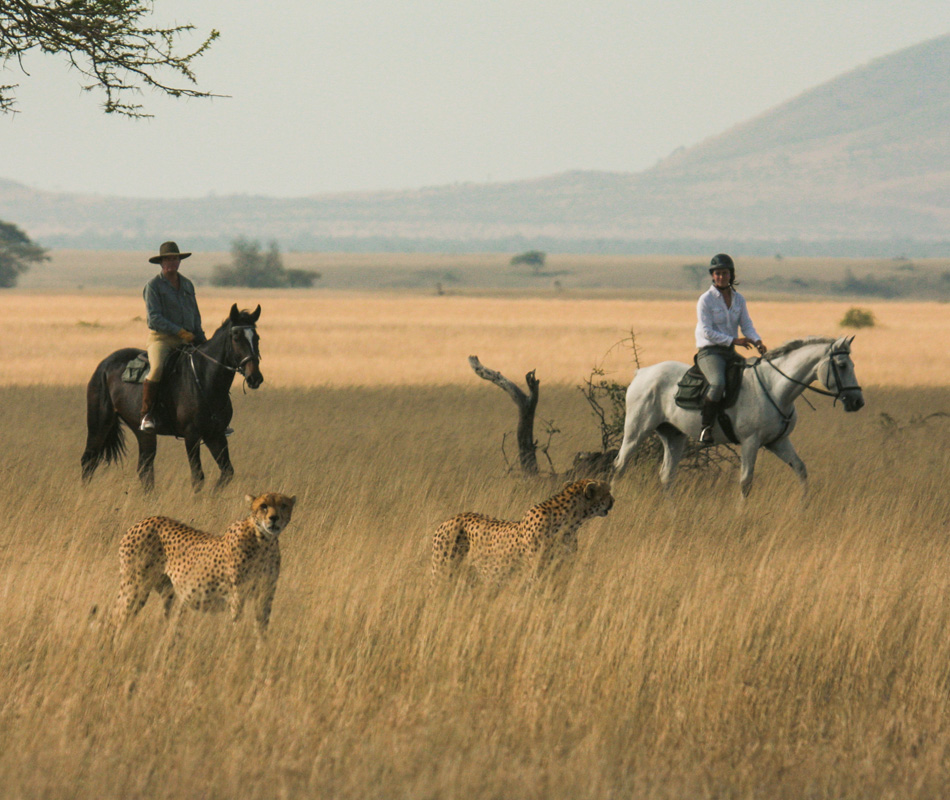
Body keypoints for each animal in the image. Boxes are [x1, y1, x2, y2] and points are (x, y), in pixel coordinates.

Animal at [82, 306, 264, 494]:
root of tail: (104, 365)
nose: (255, 378)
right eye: (236, 337)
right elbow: (198, 477)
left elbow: (227, 472)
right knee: (89, 460)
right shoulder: (192, 436)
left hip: (143, 432)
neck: (205, 379)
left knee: (145, 468)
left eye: (256, 338)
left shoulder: (215, 435)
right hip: (99, 425)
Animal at [113, 490, 296, 636]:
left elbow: (262, 627)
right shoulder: (237, 595)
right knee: (119, 619)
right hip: (135, 587)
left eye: (283, 505)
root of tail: (142, 521)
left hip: (168, 592)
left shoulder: (265, 593)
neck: (264, 542)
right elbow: (238, 625)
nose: (274, 518)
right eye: (264, 506)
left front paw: (260, 650)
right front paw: (238, 646)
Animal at [434, 482, 616, 588]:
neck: (571, 522)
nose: (613, 500)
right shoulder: (536, 576)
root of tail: (448, 519)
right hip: (442, 573)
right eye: (607, 492)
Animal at [612, 334, 868, 496]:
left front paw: (804, 508)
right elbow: (746, 482)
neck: (775, 388)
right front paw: (740, 515)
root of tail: (641, 373)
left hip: (673, 435)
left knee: (667, 475)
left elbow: (801, 470)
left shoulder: (778, 442)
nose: (858, 401)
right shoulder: (750, 442)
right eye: (842, 365)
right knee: (619, 467)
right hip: (636, 432)